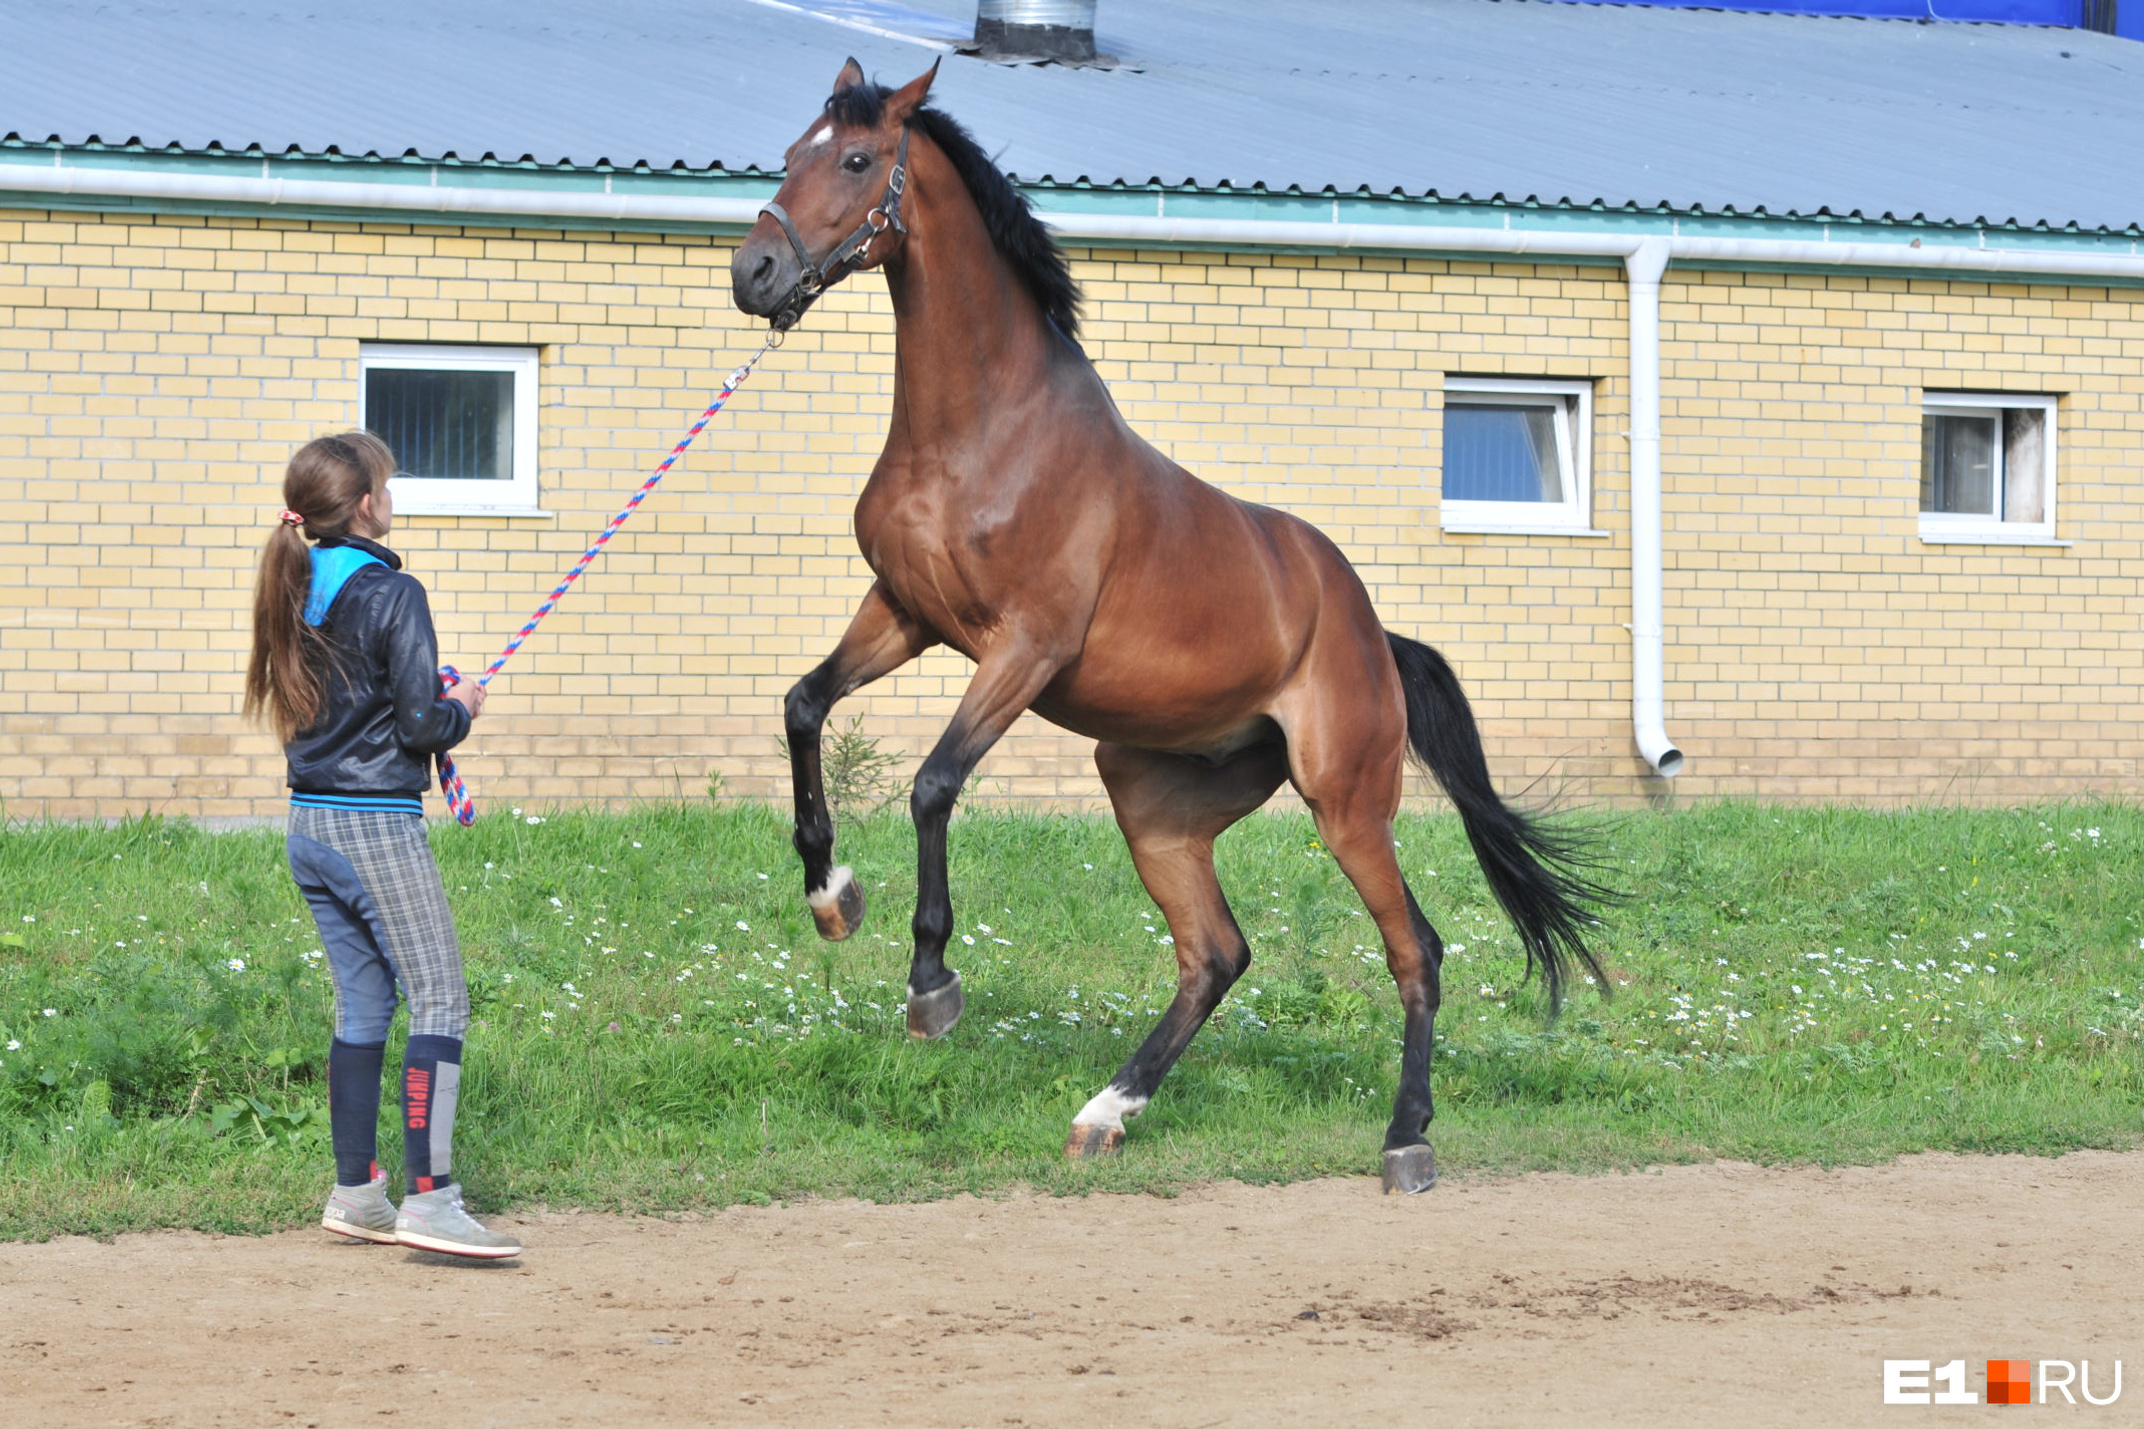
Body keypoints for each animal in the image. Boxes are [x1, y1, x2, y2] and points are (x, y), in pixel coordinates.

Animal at [728, 58, 1603, 1199]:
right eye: (794, 151)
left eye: (858, 159)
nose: (754, 272)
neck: (982, 434)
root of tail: (1376, 638)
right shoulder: (906, 615)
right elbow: (803, 705)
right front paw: (831, 894)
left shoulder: (1022, 647)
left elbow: (932, 782)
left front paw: (930, 984)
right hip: (1153, 801)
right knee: (1216, 953)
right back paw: (1106, 1110)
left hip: (1346, 801)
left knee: (1414, 948)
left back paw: (1405, 1139)